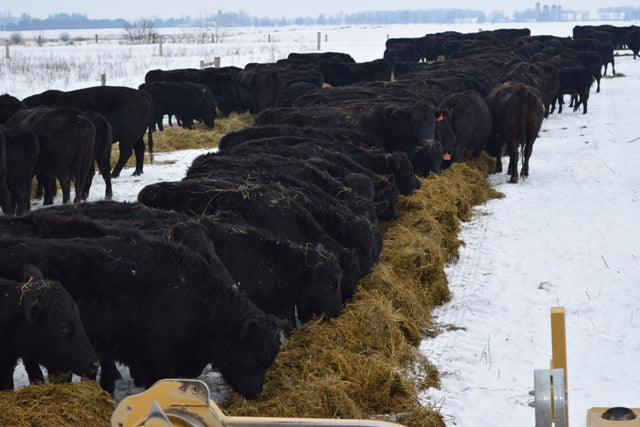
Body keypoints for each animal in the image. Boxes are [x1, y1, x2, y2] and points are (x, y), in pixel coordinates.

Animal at [22, 86, 153, 178]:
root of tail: (142, 94)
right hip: (137, 135)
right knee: (140, 148)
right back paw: (137, 172)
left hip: (128, 136)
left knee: (126, 152)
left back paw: (114, 174)